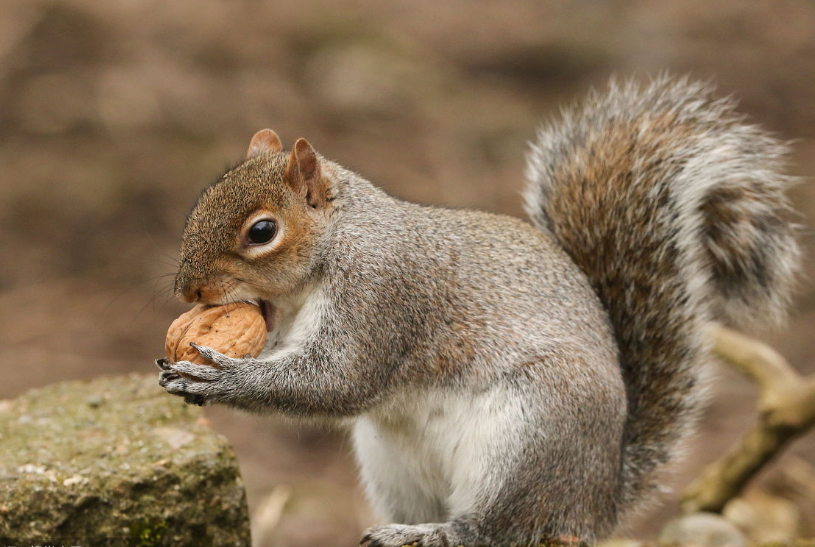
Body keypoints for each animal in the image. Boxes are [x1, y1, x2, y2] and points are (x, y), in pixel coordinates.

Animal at [158, 78, 804, 547]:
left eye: (262, 231)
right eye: (203, 199)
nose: (190, 291)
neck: (337, 244)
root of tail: (597, 501)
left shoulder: (382, 295)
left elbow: (339, 380)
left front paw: (218, 377)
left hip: (531, 434)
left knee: (496, 530)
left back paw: (431, 535)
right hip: (390, 462)